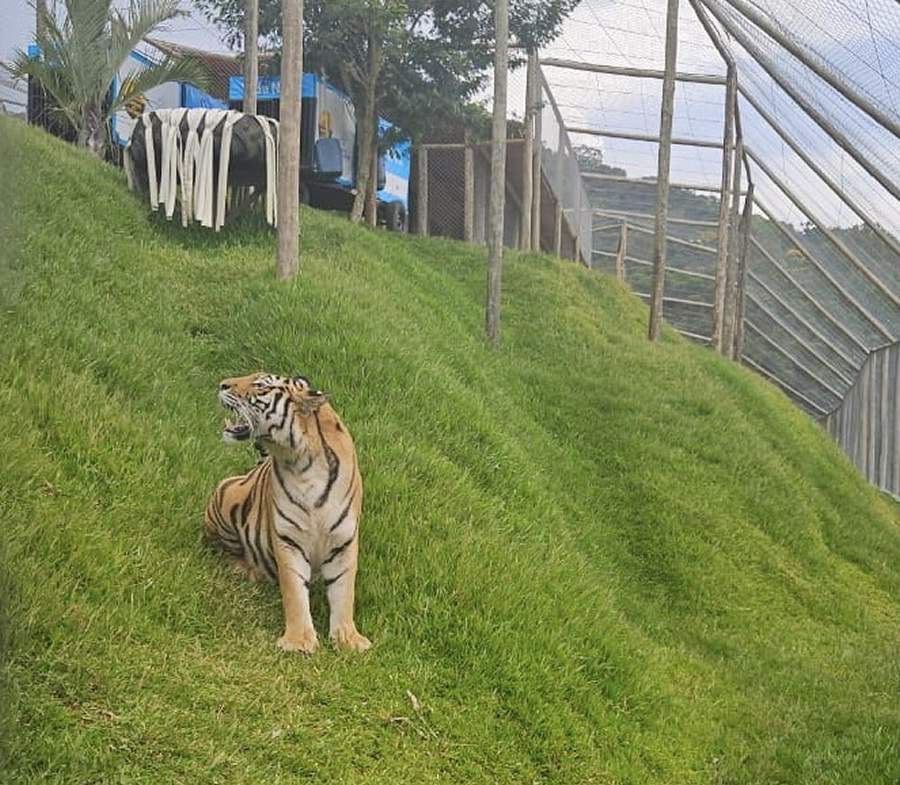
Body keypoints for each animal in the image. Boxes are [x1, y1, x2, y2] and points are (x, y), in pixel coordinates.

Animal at [204, 370, 370, 652]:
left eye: (260, 385)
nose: (222, 384)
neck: (302, 462)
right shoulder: (288, 540)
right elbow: (294, 592)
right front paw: (298, 642)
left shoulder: (344, 542)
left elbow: (344, 591)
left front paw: (348, 639)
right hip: (226, 497)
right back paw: (248, 570)